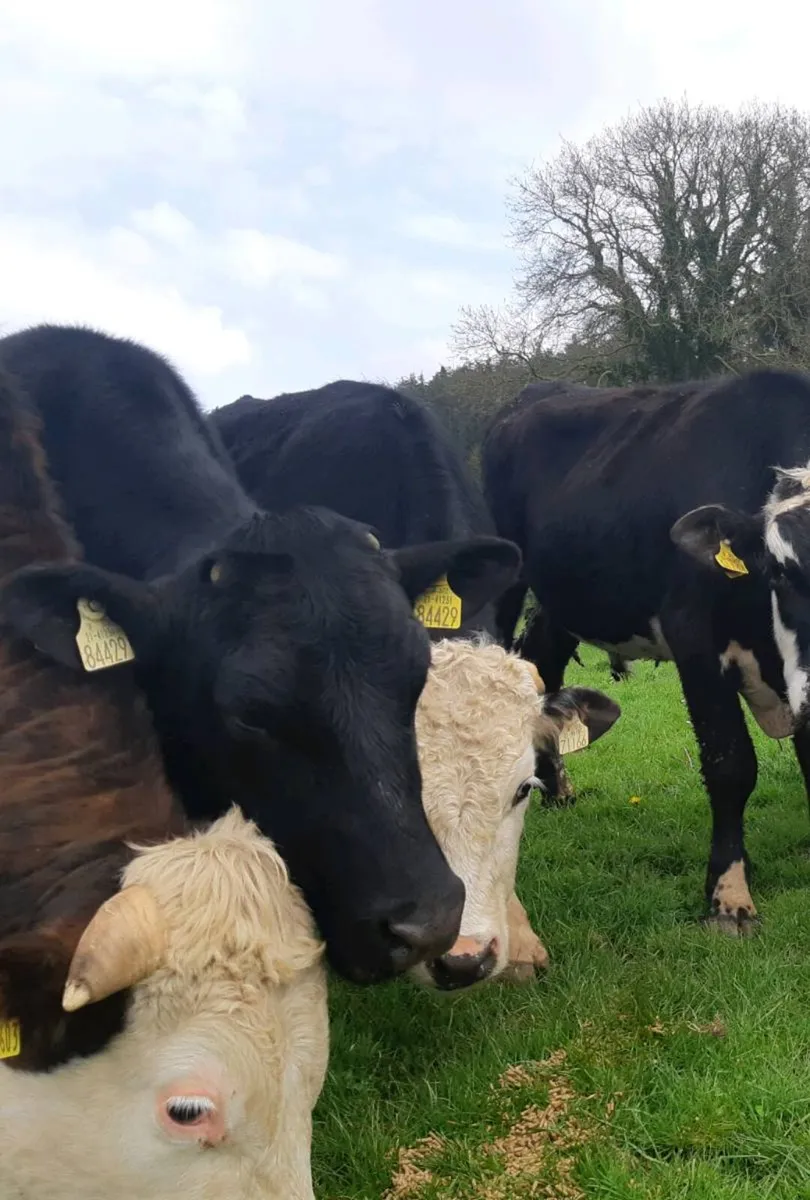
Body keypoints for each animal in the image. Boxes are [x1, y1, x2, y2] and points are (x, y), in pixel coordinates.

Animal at [482, 369, 810, 934]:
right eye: (782, 571)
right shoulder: (694, 633)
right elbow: (730, 764)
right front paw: (729, 899)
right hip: (507, 578)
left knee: (544, 663)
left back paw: (558, 788)